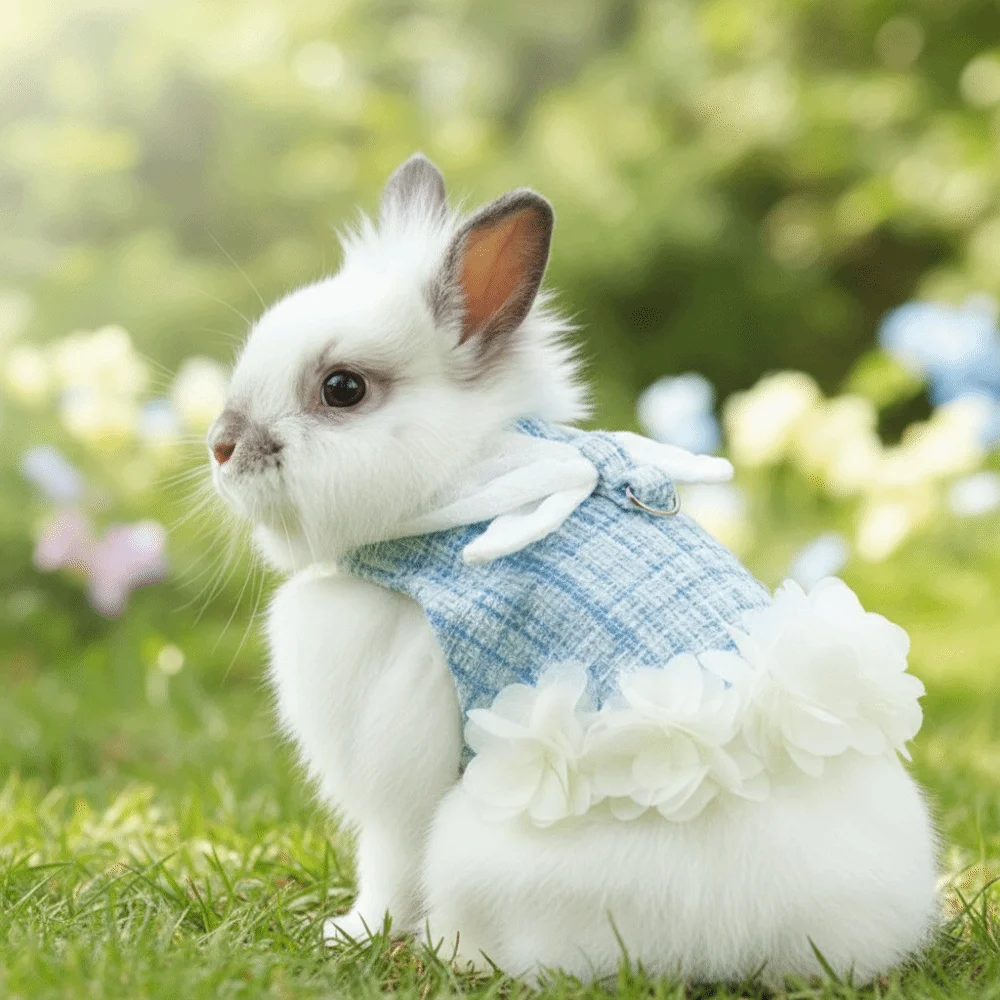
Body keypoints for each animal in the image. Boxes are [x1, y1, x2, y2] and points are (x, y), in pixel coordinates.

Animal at [208, 153, 939, 986]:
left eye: (343, 389)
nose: (221, 447)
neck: (460, 480)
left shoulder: (395, 776)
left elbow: (387, 866)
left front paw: (352, 932)